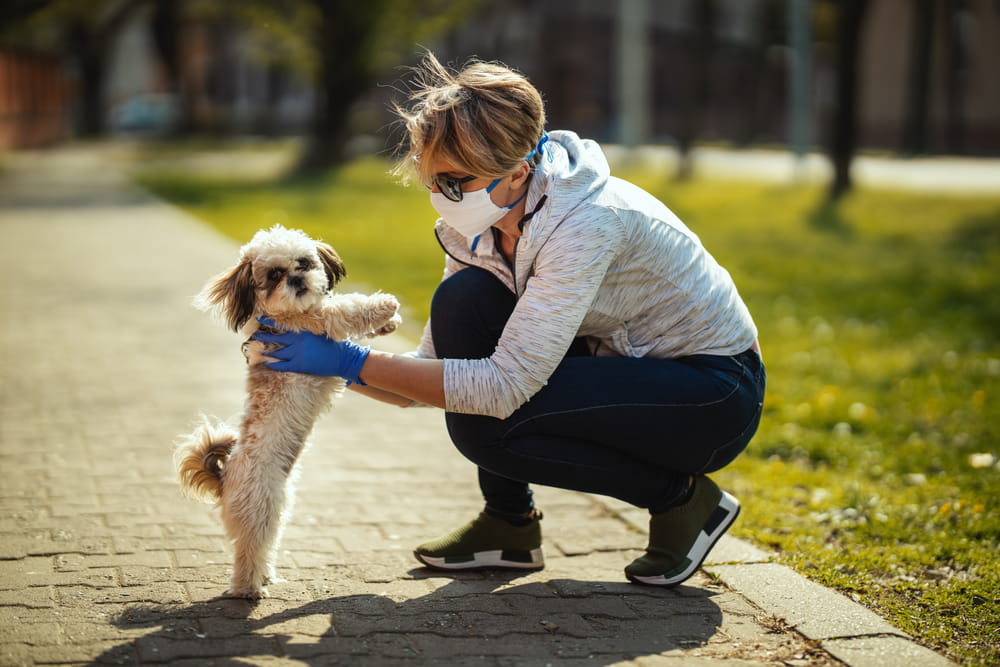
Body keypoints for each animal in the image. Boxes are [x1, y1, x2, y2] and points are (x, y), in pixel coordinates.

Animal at [174, 224, 400, 600]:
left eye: (304, 262)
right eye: (274, 275)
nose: (296, 279)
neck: (281, 316)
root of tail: (225, 478)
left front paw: (388, 323)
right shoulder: (315, 324)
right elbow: (344, 307)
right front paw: (384, 305)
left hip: (277, 509)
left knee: (263, 548)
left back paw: (265, 576)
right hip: (261, 510)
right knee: (247, 552)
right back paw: (249, 589)